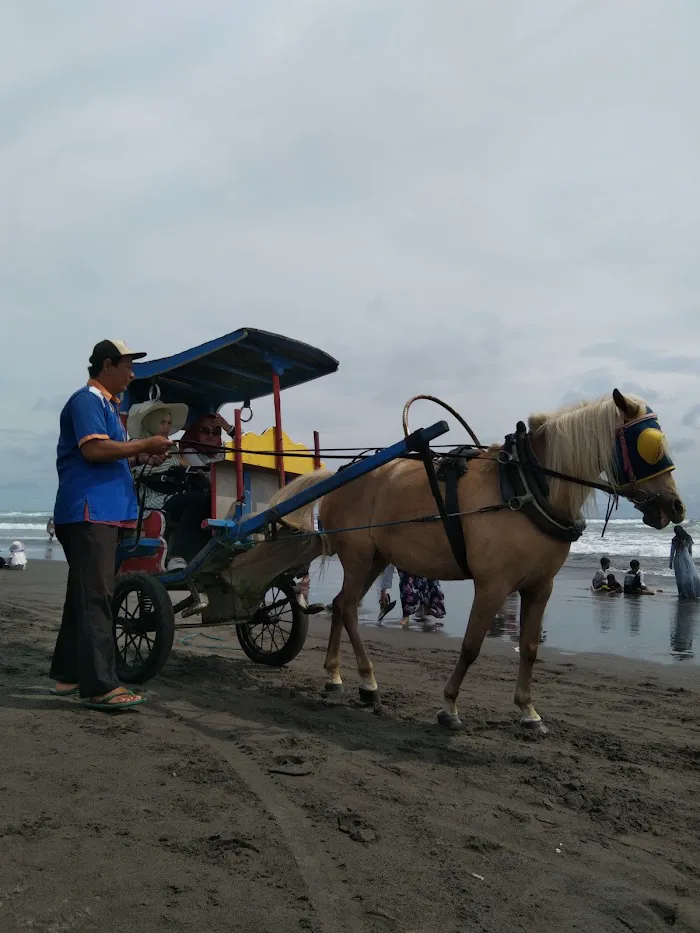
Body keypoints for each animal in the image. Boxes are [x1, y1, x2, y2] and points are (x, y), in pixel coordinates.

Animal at [266, 388, 684, 736]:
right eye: (649, 445)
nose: (676, 507)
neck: (526, 485)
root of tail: (340, 474)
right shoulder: (493, 586)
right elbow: (470, 646)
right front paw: (449, 706)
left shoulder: (540, 587)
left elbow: (529, 648)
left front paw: (528, 711)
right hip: (358, 557)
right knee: (350, 608)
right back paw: (367, 681)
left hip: (374, 560)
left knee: (341, 605)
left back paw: (336, 676)